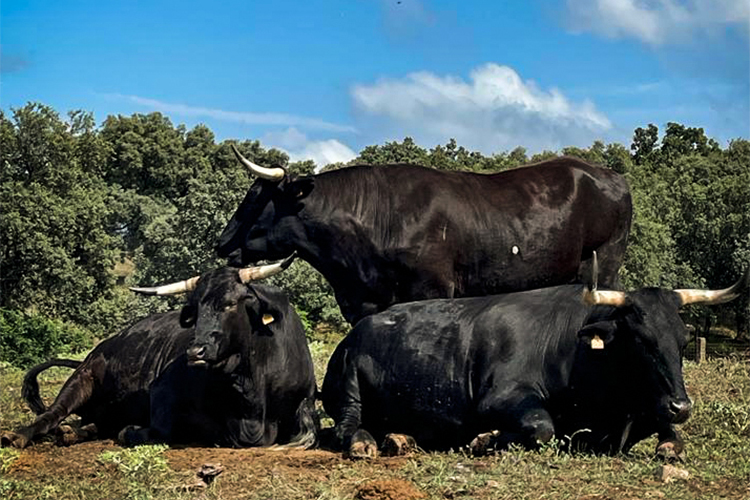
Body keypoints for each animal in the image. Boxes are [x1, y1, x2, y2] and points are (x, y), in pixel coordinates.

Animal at [0, 258, 318, 450]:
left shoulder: (306, 403)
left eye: (230, 303)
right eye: (194, 308)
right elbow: (165, 428)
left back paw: (76, 432)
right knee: (52, 414)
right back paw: (19, 435)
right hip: (82, 379)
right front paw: (132, 431)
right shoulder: (163, 390)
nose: (195, 351)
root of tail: (100, 348)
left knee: (90, 422)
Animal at [217, 146, 636, 324]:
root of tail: (610, 175)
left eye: (256, 199)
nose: (222, 243)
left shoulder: (431, 288)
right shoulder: (362, 301)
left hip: (605, 263)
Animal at [322, 258, 748, 458]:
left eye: (683, 340)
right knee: (346, 426)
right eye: (640, 340)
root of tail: (355, 332)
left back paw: (399, 437)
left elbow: (672, 438)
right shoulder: (500, 398)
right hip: (349, 382)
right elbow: (542, 428)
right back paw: (366, 443)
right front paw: (485, 439)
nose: (681, 405)